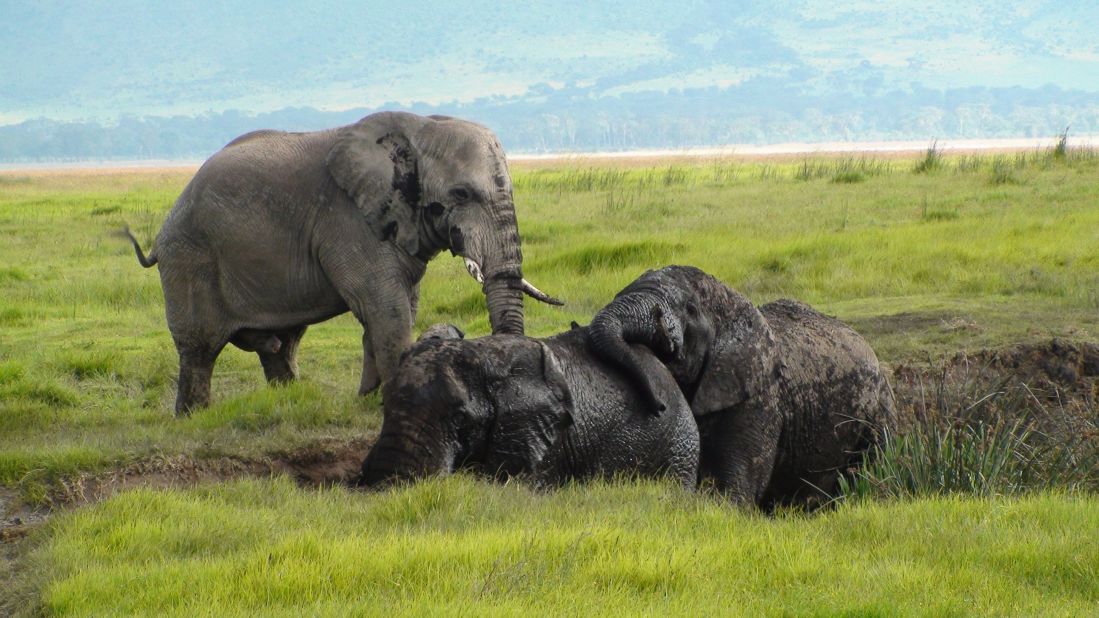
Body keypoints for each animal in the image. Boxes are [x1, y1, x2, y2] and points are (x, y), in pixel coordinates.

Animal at [124, 113, 562, 415]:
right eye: (461, 194)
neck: (420, 126)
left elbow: (397, 307)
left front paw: (368, 399)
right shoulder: (350, 221)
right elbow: (386, 308)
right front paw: (391, 403)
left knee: (282, 345)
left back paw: (291, 403)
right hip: (189, 257)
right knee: (199, 348)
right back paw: (193, 418)